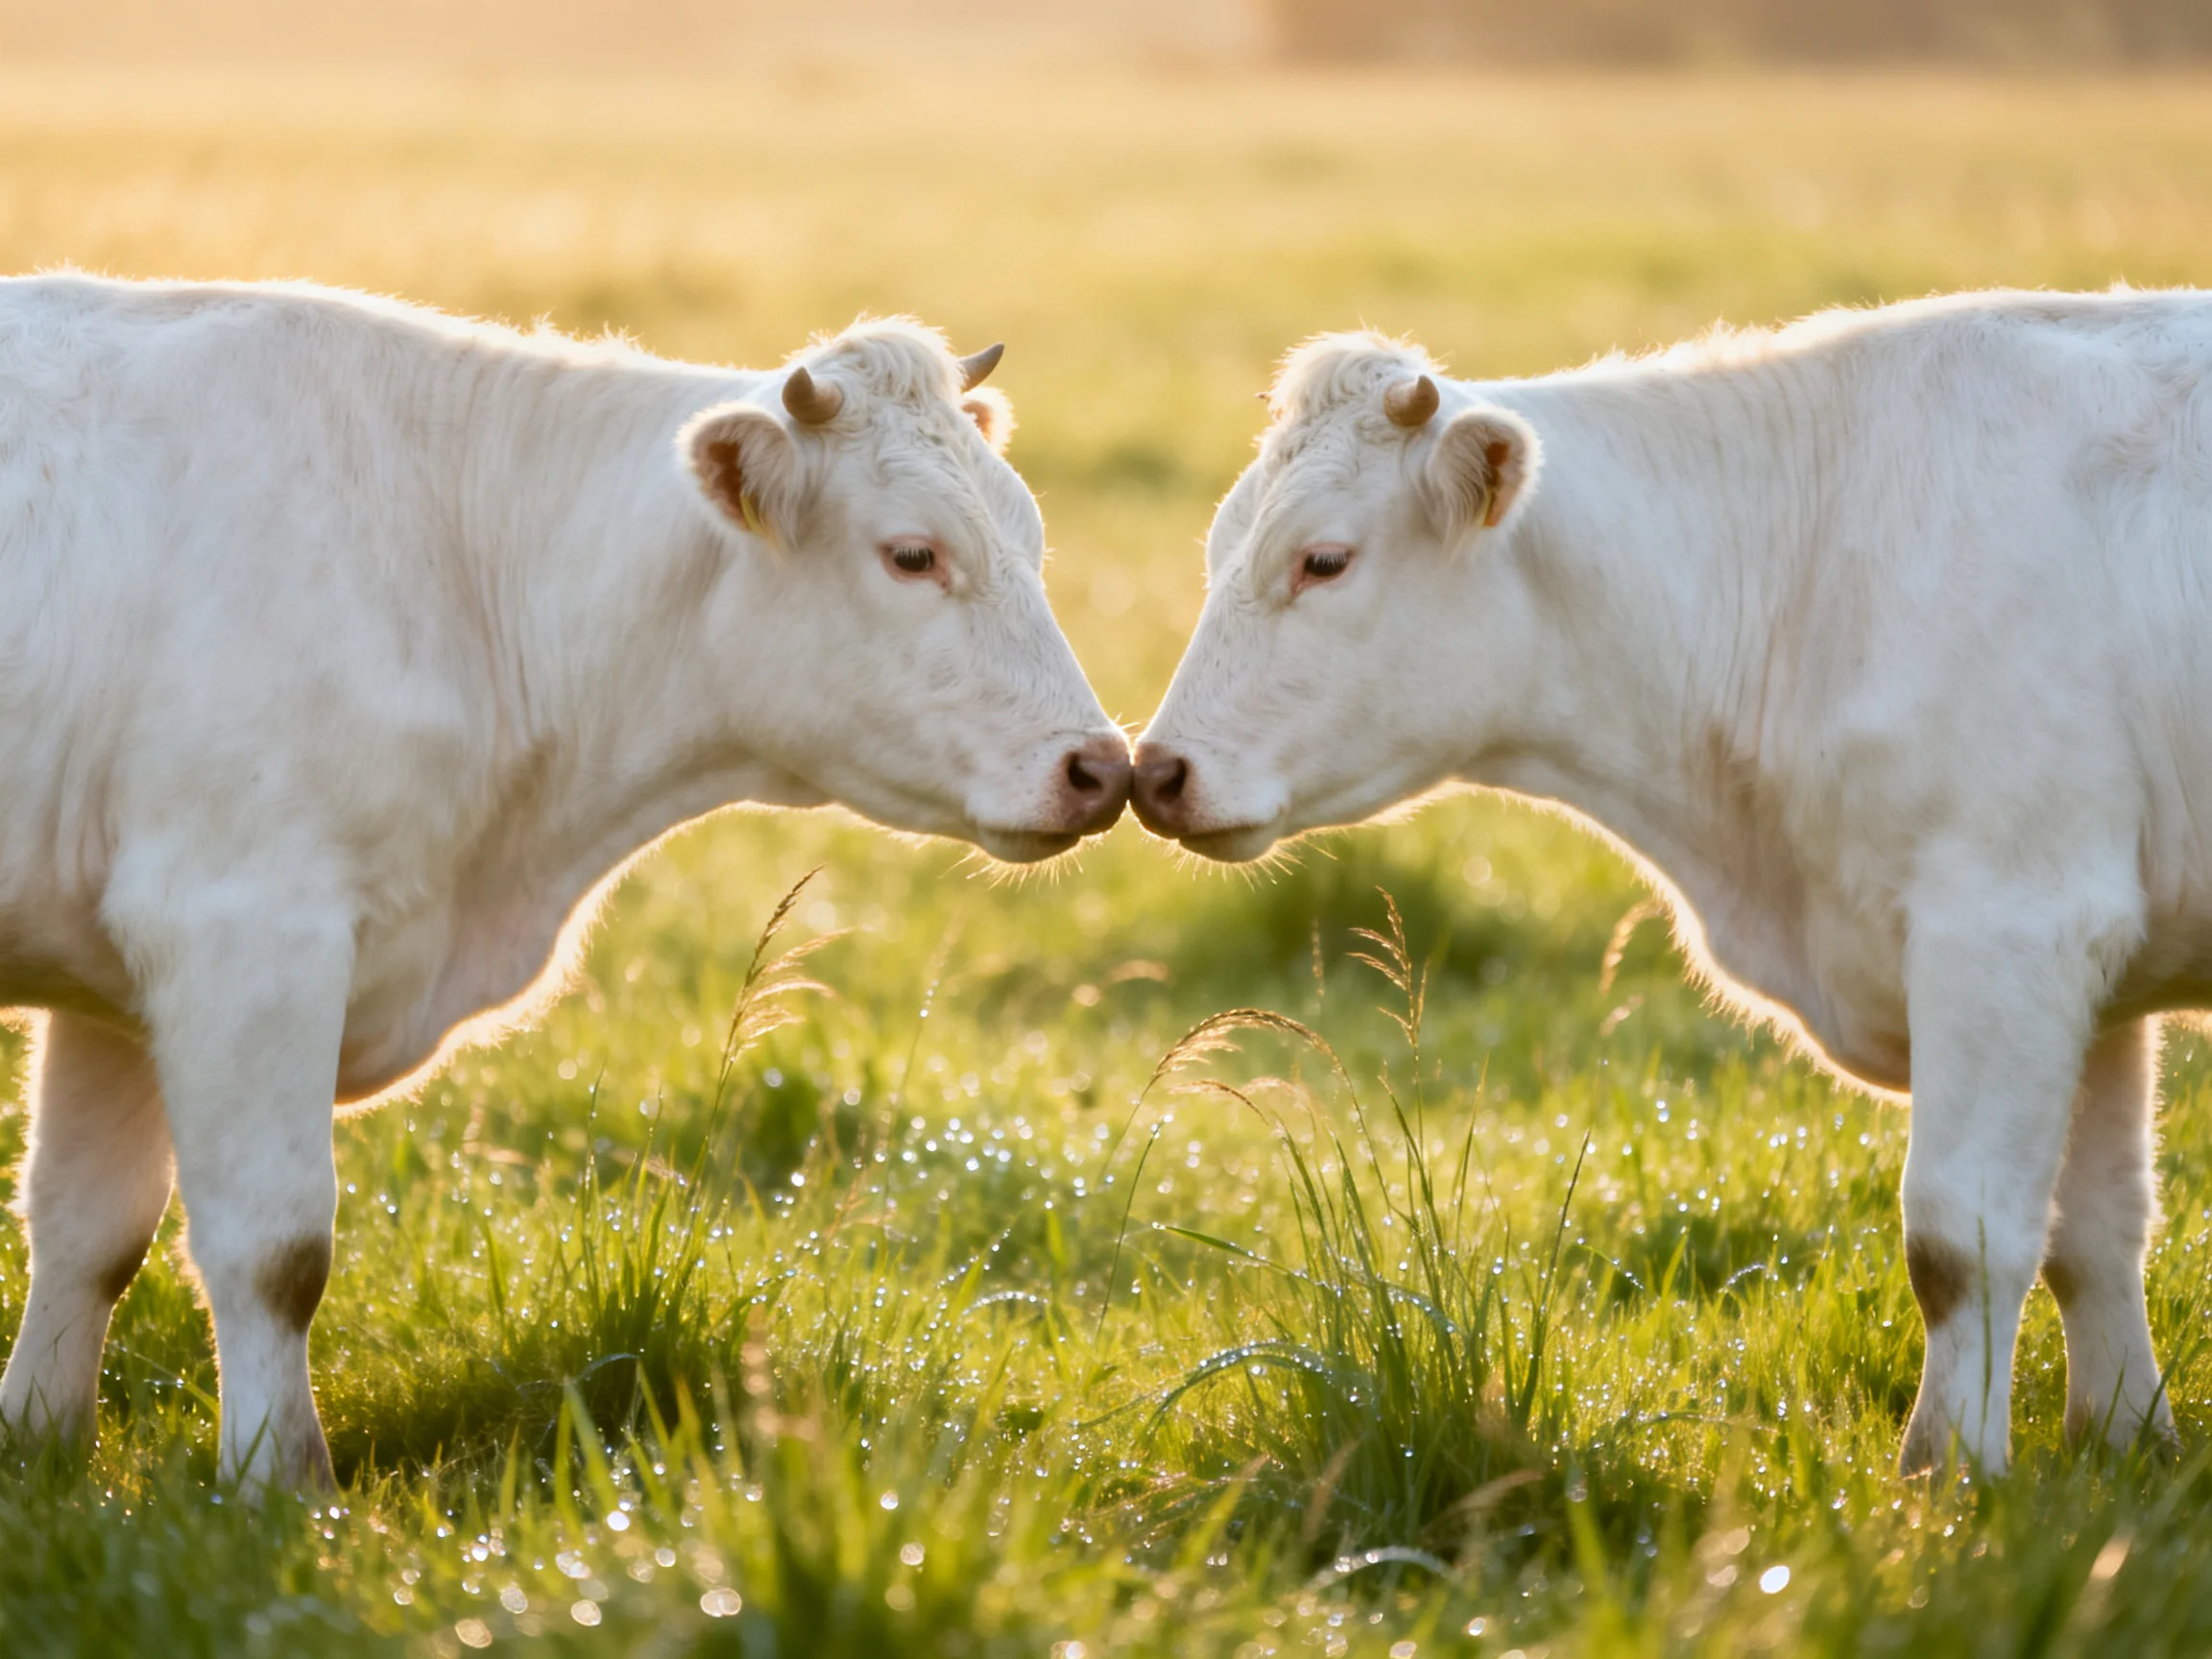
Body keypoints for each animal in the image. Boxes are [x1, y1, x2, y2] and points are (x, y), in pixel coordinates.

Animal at [0, 275, 1129, 1489]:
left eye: (1032, 539)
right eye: (913, 555)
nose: (1100, 768)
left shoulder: (119, 981)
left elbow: (87, 1231)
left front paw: (36, 1445)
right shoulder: (241, 928)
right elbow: (275, 1250)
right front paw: (279, 1486)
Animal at [1132, 290, 2212, 1475]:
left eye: (1322, 560)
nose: (1158, 772)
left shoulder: (2010, 924)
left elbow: (1959, 1240)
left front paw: (1947, 1473)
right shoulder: (2096, 969)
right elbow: (2094, 1235)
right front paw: (2129, 1445)